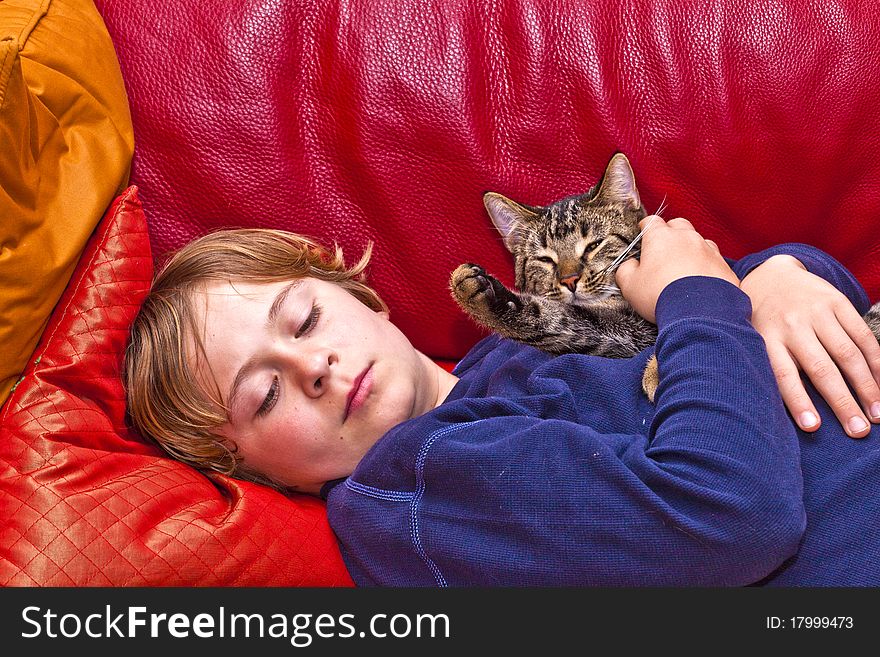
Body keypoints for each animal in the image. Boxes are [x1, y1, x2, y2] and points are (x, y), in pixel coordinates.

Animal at [450, 153, 880, 400]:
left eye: (594, 245)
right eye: (544, 259)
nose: (570, 281)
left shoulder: (632, 330)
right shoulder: (617, 332)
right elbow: (554, 318)